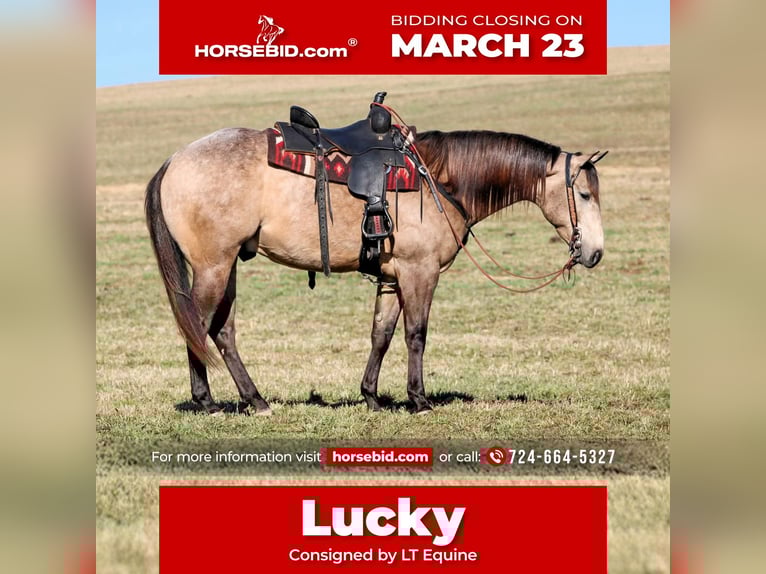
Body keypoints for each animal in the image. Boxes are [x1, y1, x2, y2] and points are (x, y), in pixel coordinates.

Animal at [145, 123, 607, 416]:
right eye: (584, 194)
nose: (596, 252)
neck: (440, 180)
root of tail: (174, 160)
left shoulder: (391, 276)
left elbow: (381, 335)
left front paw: (371, 397)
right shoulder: (420, 272)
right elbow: (416, 334)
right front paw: (419, 400)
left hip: (227, 267)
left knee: (222, 331)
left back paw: (256, 401)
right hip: (213, 266)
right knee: (197, 323)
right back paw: (207, 402)